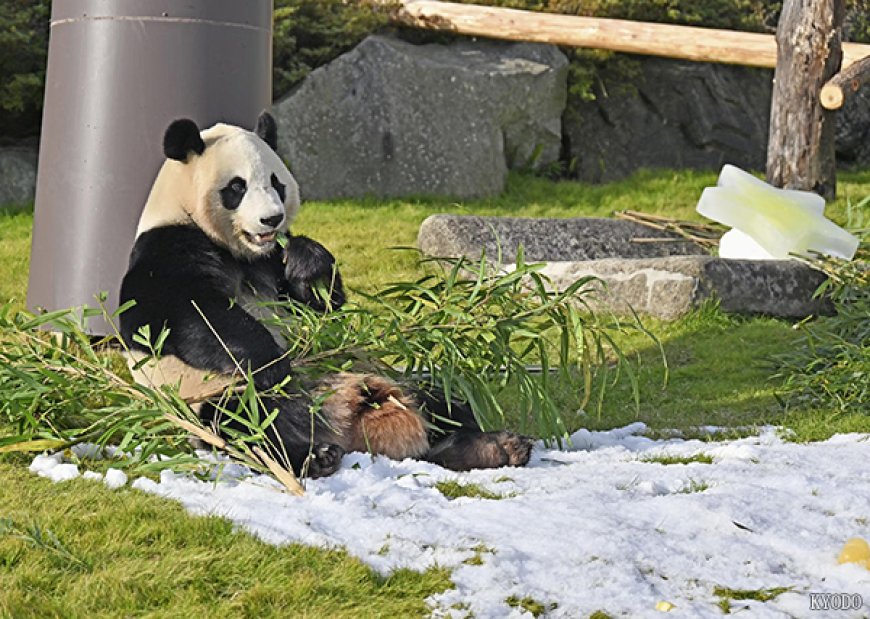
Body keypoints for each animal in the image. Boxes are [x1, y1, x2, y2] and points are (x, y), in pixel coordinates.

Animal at [118, 111, 536, 480]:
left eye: (276, 183)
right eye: (237, 187)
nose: (272, 219)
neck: (240, 251)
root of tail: (340, 418)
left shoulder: (271, 261)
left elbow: (320, 303)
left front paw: (308, 260)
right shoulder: (169, 246)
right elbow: (173, 314)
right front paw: (272, 363)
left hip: (378, 374)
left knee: (444, 397)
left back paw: (494, 446)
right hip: (214, 398)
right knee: (246, 426)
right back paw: (314, 457)